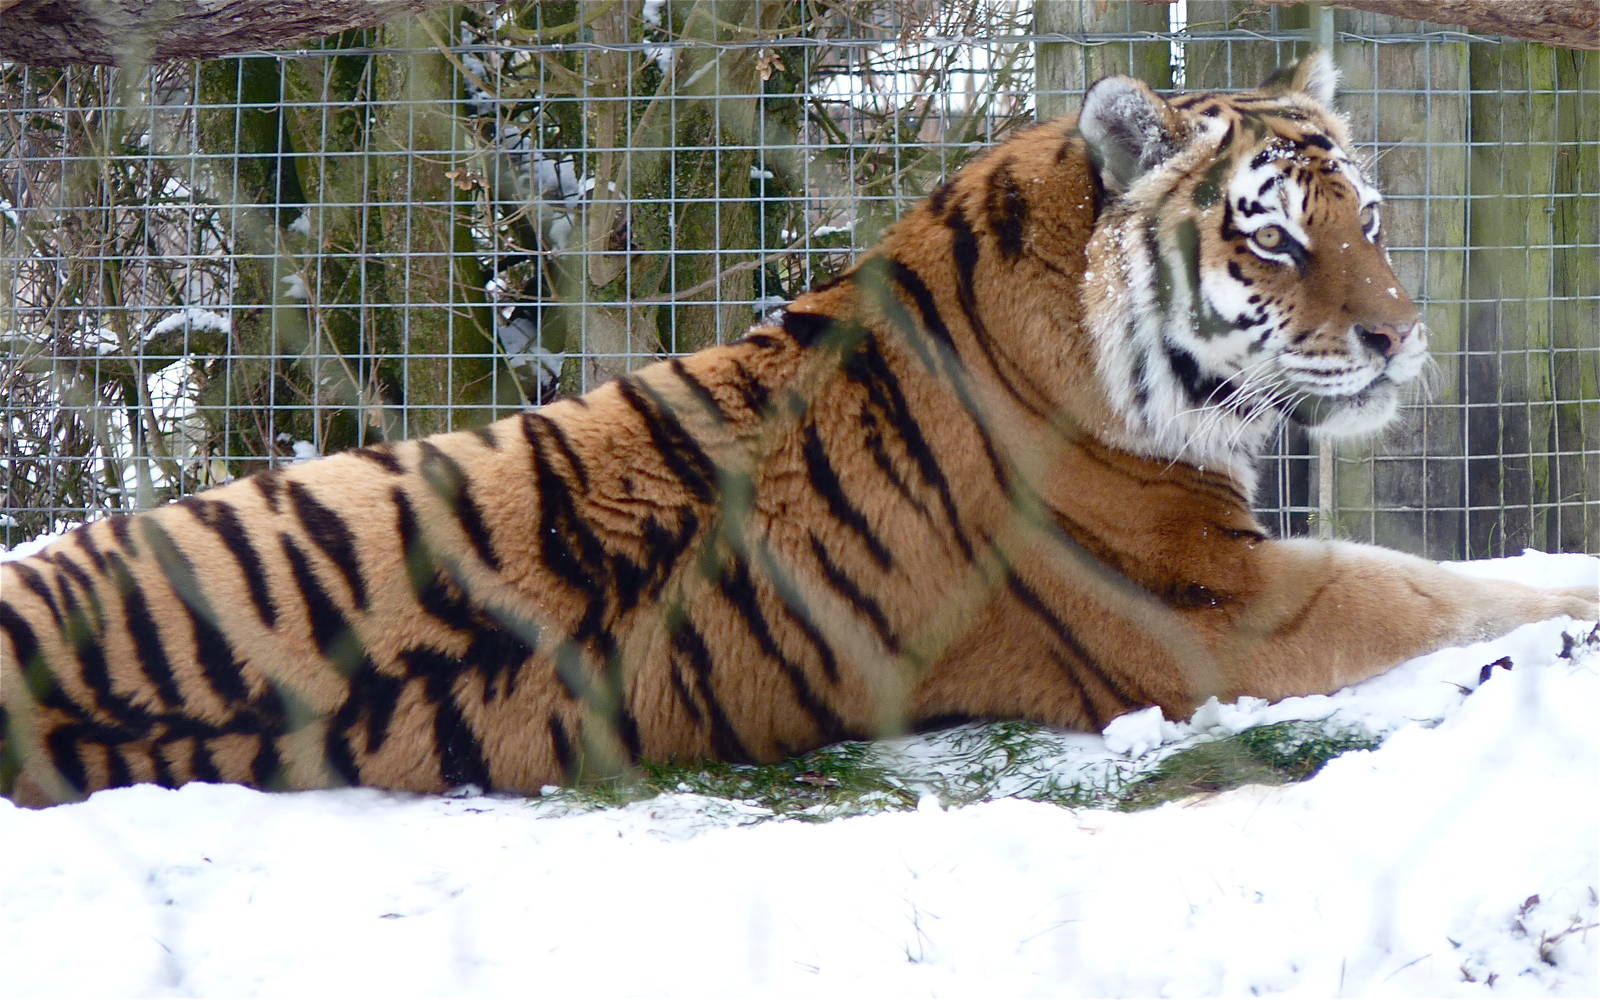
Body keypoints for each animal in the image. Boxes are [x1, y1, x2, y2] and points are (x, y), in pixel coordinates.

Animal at [3, 51, 1595, 808]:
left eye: (1366, 220)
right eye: (1273, 238)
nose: (1399, 332)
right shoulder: (1220, 608)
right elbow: (1433, 590)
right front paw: (1572, 594)